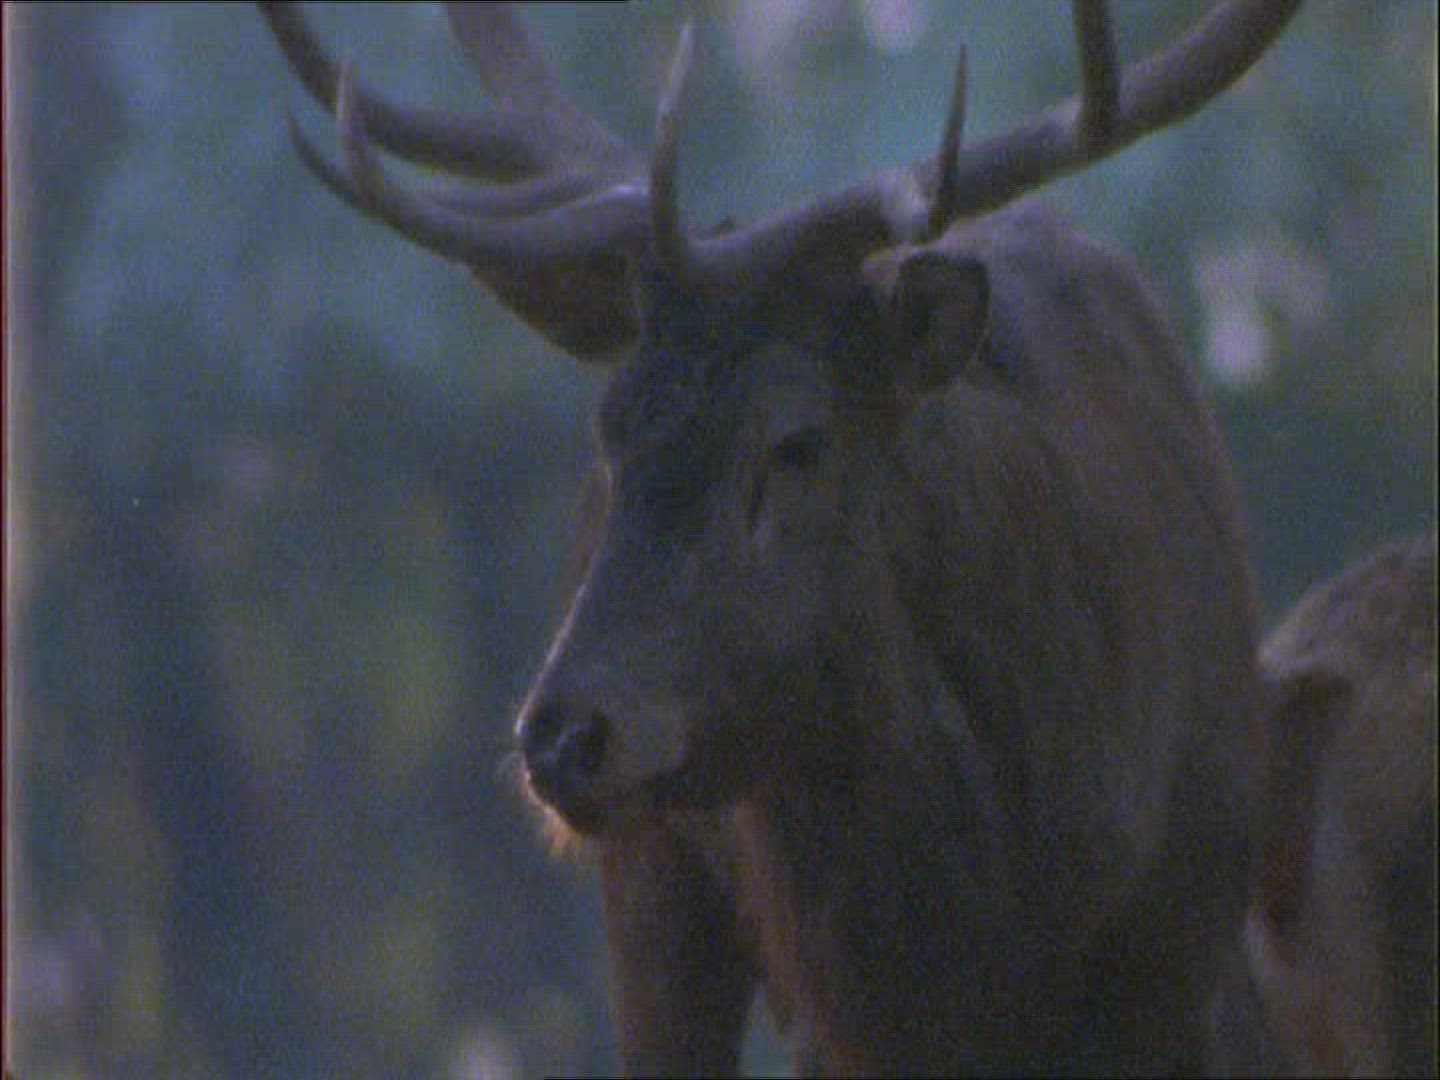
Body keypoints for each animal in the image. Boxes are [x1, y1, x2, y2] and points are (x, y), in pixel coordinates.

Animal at [258, 2, 1301, 1074]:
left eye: (797, 440)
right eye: (610, 429)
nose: (562, 735)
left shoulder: (1179, 961)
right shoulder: (841, 1016)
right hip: (656, 892)